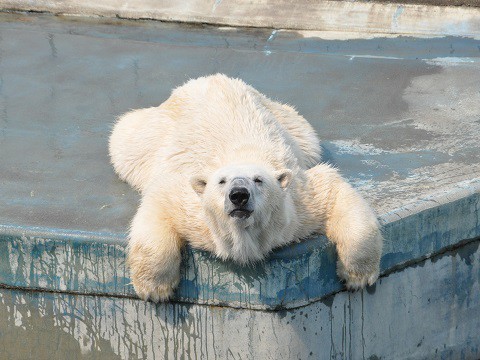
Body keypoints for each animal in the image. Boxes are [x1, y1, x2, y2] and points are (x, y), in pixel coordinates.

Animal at [109, 74, 382, 300]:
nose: (238, 195)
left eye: (258, 180)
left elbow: (333, 190)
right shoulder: (196, 213)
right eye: (221, 181)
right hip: (149, 136)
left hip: (292, 124)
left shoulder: (299, 204)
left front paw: (357, 276)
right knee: (125, 134)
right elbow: (162, 198)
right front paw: (155, 289)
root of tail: (209, 79)